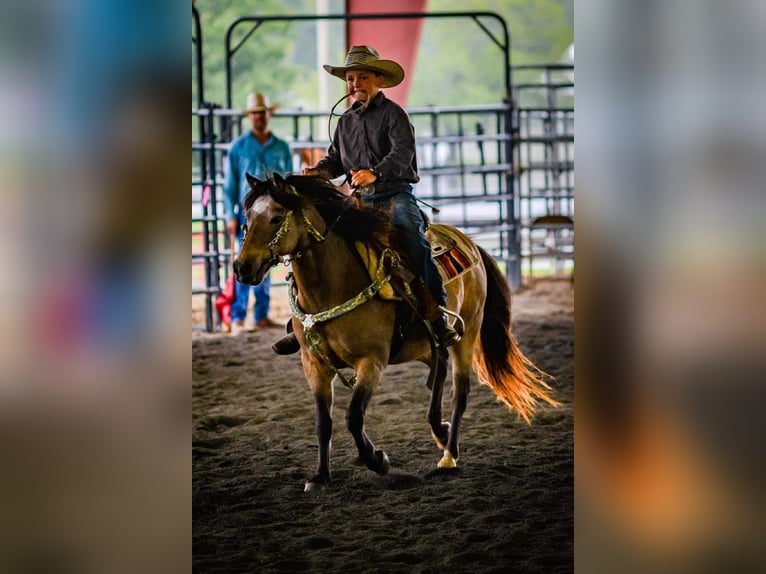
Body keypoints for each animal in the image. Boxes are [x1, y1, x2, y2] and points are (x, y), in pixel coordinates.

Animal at [234, 173, 560, 492]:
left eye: (276, 217)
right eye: (247, 219)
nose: (242, 267)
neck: (332, 287)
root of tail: (471, 244)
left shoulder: (371, 362)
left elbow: (353, 416)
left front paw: (377, 460)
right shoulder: (313, 365)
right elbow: (322, 422)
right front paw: (320, 476)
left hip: (467, 334)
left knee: (460, 391)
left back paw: (449, 455)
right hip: (425, 344)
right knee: (439, 370)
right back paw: (439, 430)